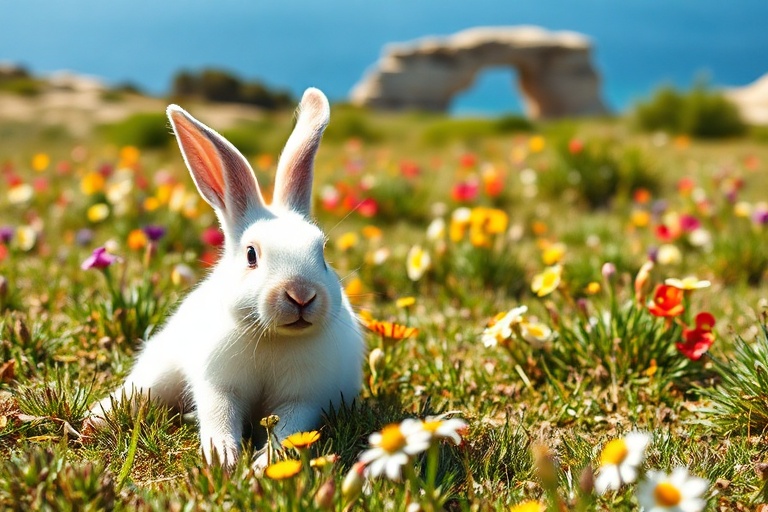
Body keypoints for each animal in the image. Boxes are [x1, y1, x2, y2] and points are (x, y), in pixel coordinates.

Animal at [88, 88, 364, 470]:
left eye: (322, 253)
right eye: (251, 255)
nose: (301, 294)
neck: (272, 338)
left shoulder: (306, 399)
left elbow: (289, 428)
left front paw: (264, 464)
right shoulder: (217, 384)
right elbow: (219, 413)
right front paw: (223, 456)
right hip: (160, 368)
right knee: (136, 392)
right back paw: (92, 420)